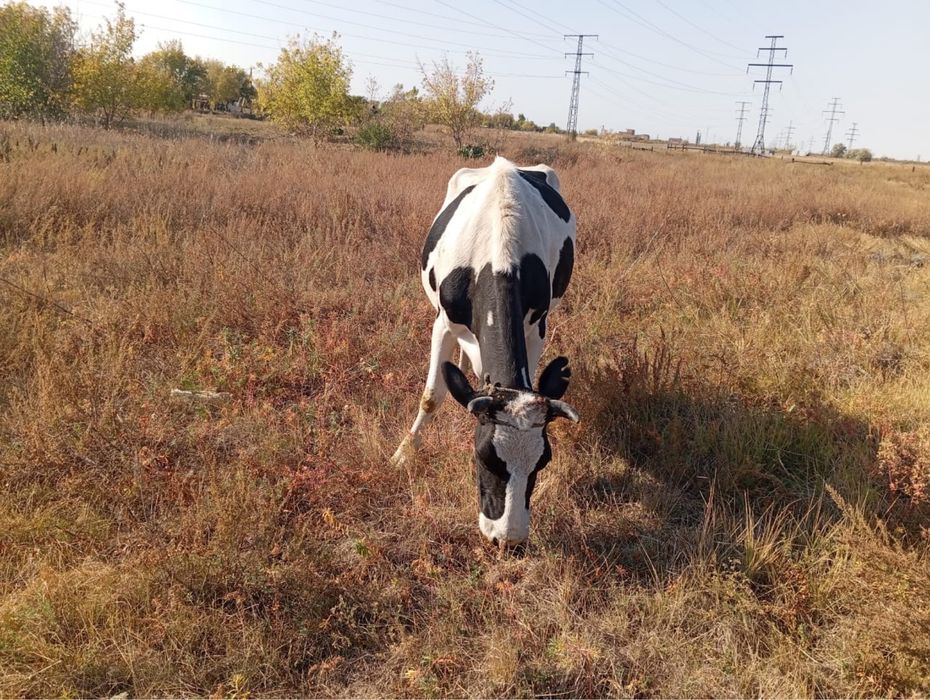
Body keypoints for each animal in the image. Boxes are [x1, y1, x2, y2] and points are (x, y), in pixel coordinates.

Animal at [391, 156, 579, 548]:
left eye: (543, 461)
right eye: (484, 458)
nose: (508, 539)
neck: (498, 255)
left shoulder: (537, 327)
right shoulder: (443, 323)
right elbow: (431, 396)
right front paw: (403, 453)